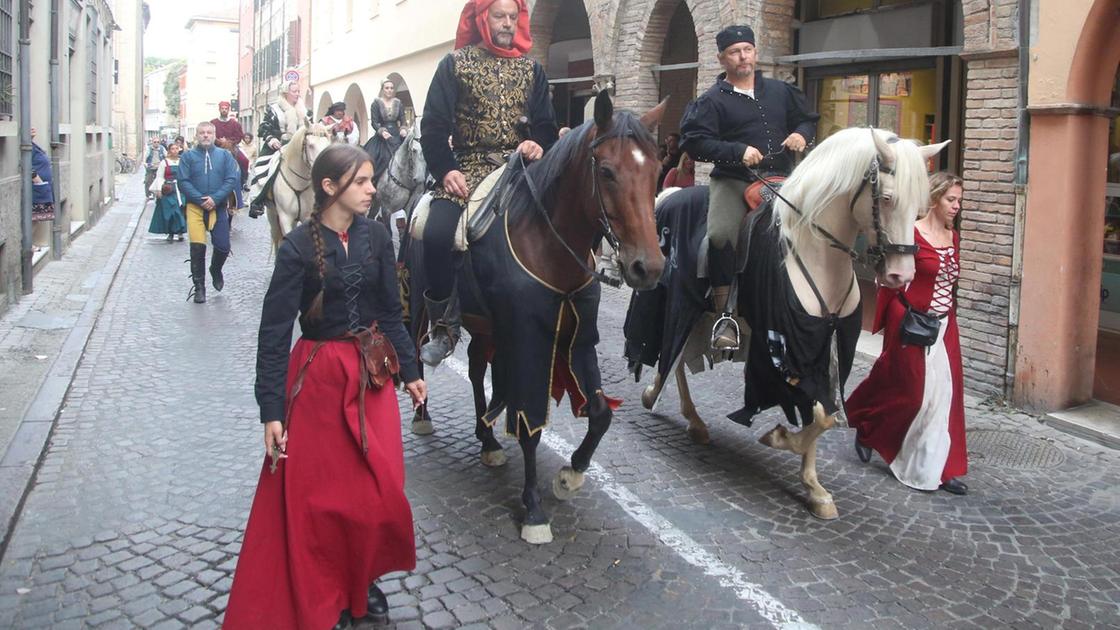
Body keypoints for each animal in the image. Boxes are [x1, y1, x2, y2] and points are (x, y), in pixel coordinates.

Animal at [407, 90, 663, 542]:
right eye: (607, 171)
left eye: (656, 172)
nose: (646, 267)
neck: (545, 239)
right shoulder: (529, 338)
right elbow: (529, 425)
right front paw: (533, 510)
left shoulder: (578, 337)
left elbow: (600, 413)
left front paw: (570, 475)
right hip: (422, 308)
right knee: (417, 354)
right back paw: (423, 417)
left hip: (486, 327)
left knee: (477, 370)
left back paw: (488, 441)